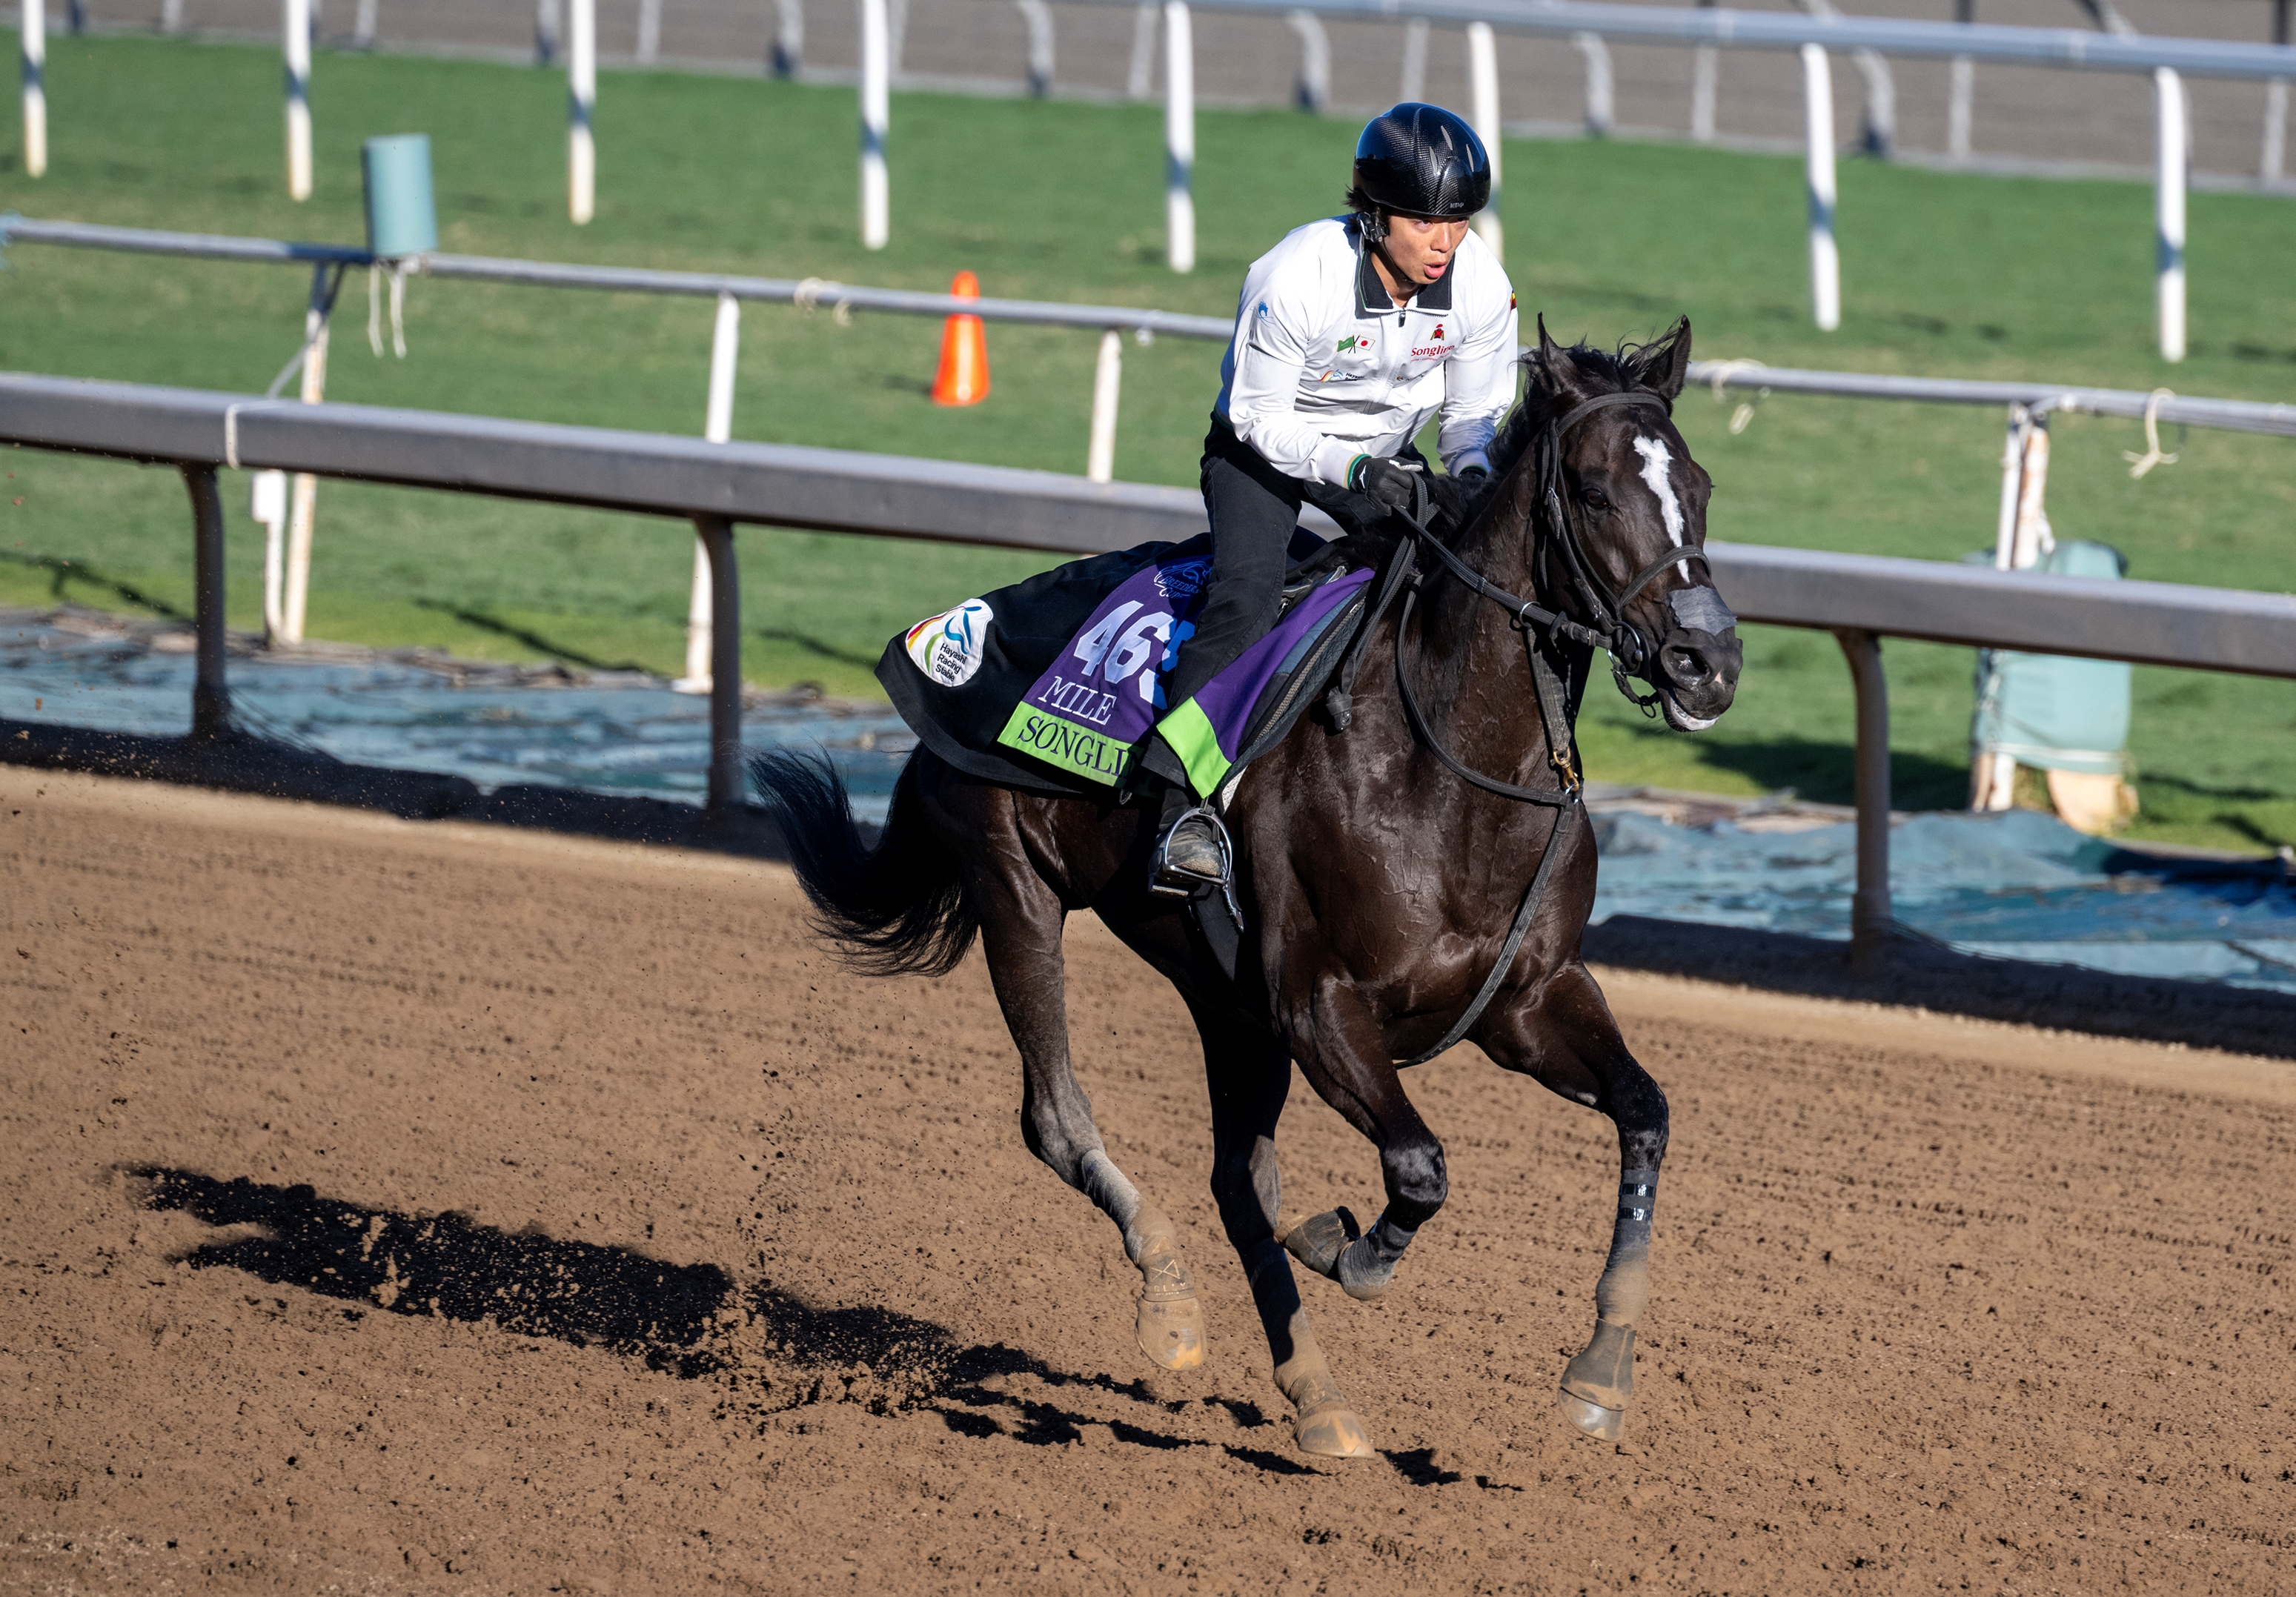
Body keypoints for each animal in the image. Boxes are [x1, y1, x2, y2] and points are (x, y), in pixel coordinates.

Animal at [753, 314, 1736, 1459]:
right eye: (1590, 489)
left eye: (1698, 484)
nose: (1708, 661)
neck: (1452, 773)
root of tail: (950, 625)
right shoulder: (1318, 1004)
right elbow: (1419, 1166)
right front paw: (1347, 1247)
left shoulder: (1526, 999)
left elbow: (1644, 1113)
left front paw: (1600, 1371)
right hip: (1017, 887)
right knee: (1058, 1118)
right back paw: (1171, 1298)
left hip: (1226, 1002)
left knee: (1236, 1181)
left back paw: (1318, 1398)